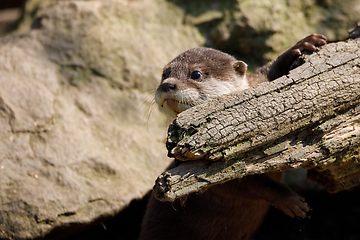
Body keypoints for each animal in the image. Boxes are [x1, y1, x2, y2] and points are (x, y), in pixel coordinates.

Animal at [140, 33, 326, 240]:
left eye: (196, 74)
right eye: (164, 74)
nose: (167, 85)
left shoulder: (257, 83)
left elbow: (267, 73)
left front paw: (302, 44)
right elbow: (242, 185)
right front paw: (289, 200)